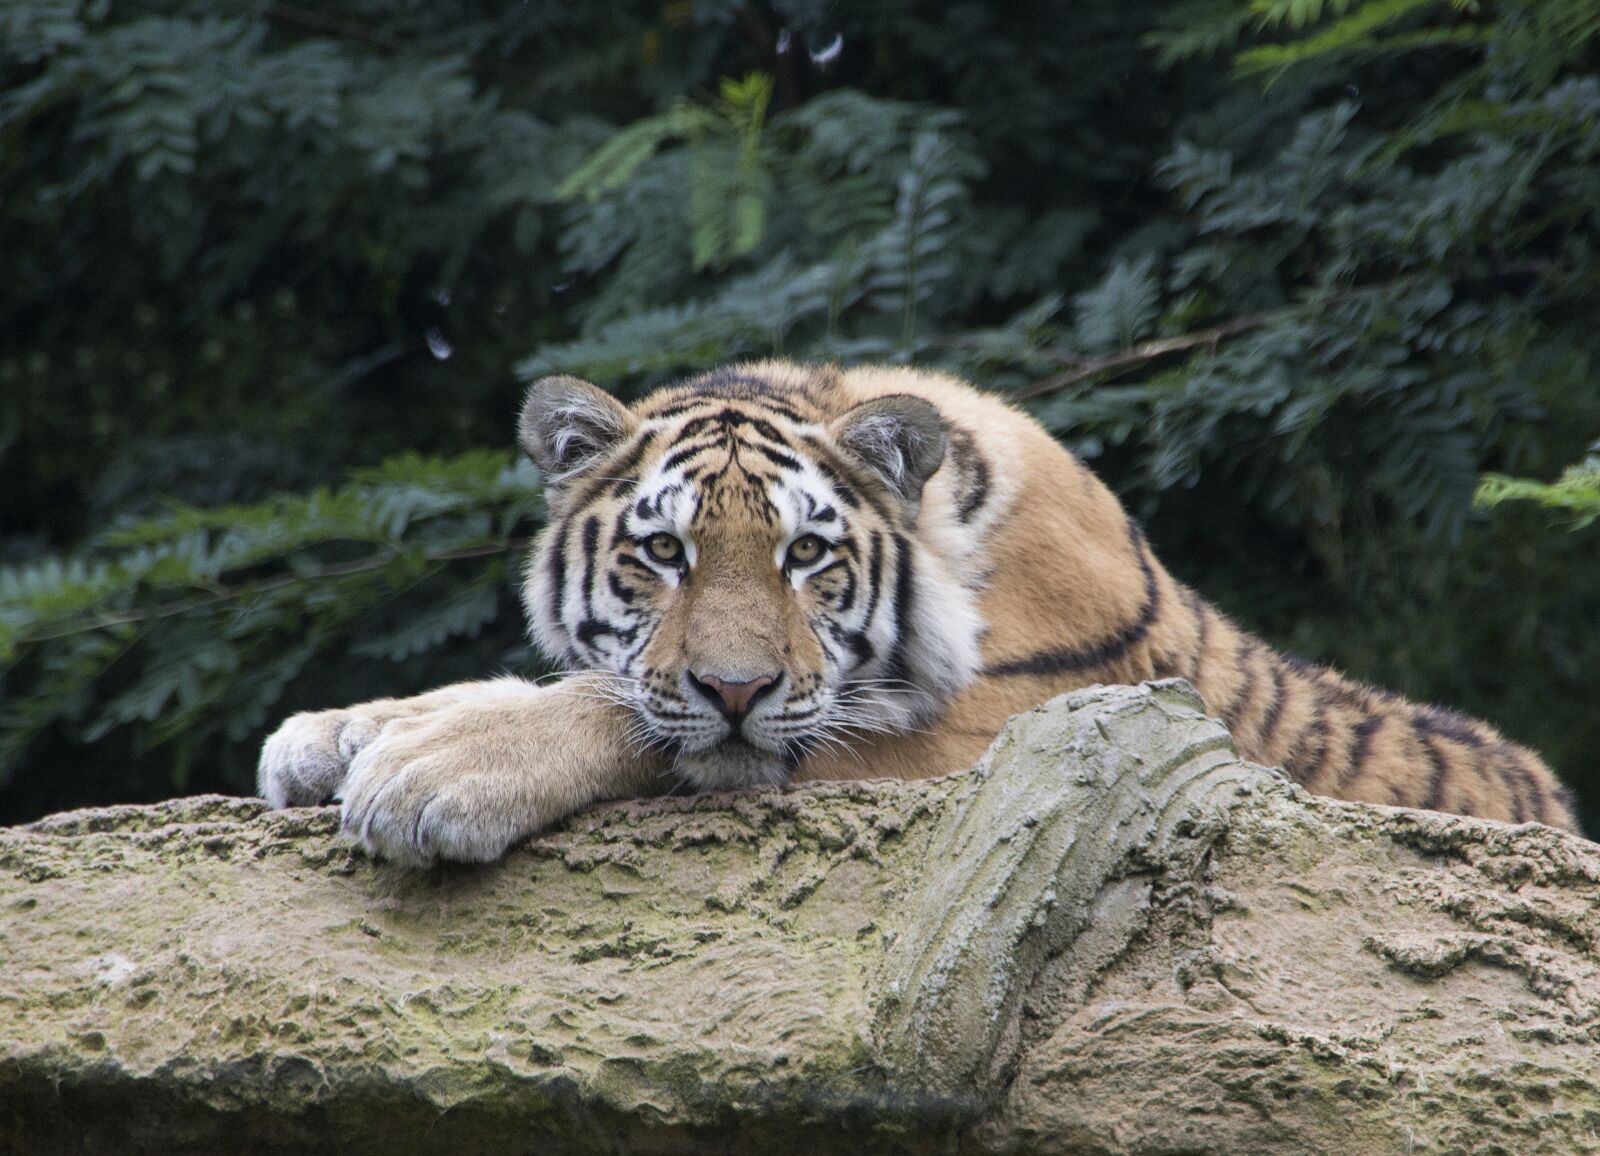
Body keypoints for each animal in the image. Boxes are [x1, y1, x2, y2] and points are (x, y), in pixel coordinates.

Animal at [258, 360, 1579, 865]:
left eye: (804, 555)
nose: (734, 687)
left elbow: (628, 714)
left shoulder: (994, 735)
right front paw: (339, 730)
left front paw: (432, 772)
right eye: (664, 553)